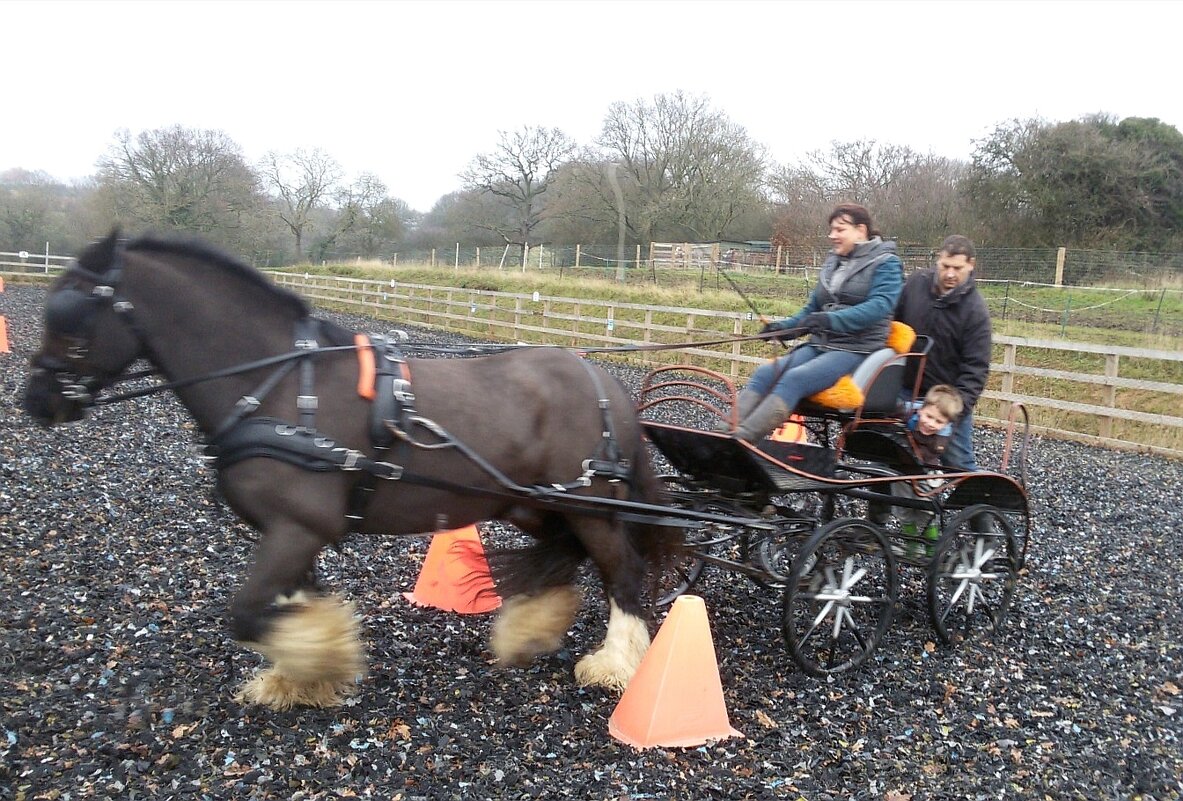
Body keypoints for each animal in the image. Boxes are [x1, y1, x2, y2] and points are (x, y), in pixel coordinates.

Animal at [23, 229, 681, 705]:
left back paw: (615, 665)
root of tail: (602, 381)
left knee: (622, 573)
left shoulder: (296, 526)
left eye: (71, 315)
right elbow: (291, 603)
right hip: (533, 503)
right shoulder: (292, 533)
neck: (279, 386)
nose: (36, 400)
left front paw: (317, 662)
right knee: (563, 557)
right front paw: (308, 673)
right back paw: (531, 631)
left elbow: (246, 613)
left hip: (589, 504)